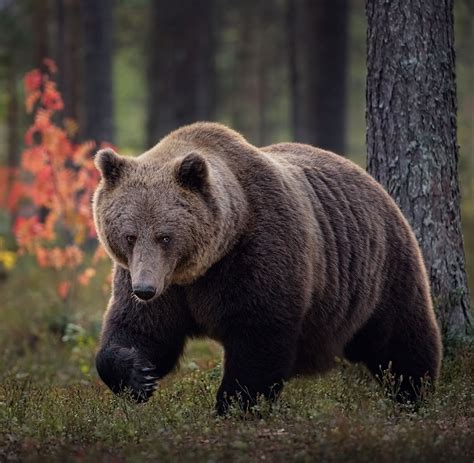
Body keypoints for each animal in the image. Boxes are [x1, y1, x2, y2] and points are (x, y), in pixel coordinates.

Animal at [93, 120, 444, 414]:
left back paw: (413, 394)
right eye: (129, 235)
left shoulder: (257, 253)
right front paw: (139, 375)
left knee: (401, 338)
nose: (145, 289)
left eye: (165, 236)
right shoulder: (164, 284)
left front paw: (234, 405)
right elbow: (139, 329)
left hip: (380, 269)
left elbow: (259, 336)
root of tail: (373, 182)